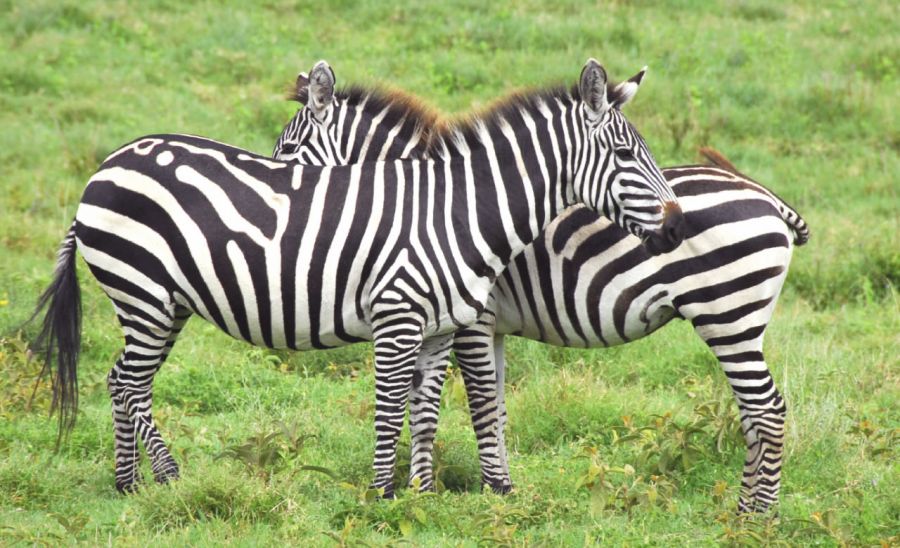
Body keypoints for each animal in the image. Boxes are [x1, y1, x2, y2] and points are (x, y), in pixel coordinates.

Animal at [31, 58, 684, 496]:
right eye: (626, 156)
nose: (678, 227)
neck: (457, 211)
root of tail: (105, 167)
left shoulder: (441, 328)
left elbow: (425, 409)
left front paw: (421, 496)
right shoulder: (401, 317)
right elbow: (398, 405)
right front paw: (385, 496)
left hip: (163, 303)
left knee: (122, 379)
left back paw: (132, 485)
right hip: (142, 292)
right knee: (128, 383)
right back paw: (163, 477)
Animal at [272, 67, 808, 510]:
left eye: (287, 155)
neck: (432, 205)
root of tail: (767, 196)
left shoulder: (472, 319)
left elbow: (476, 404)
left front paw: (489, 490)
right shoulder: (481, 325)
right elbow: (490, 406)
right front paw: (470, 488)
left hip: (728, 316)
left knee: (768, 410)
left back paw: (757, 518)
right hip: (740, 323)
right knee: (753, 413)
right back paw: (746, 506)